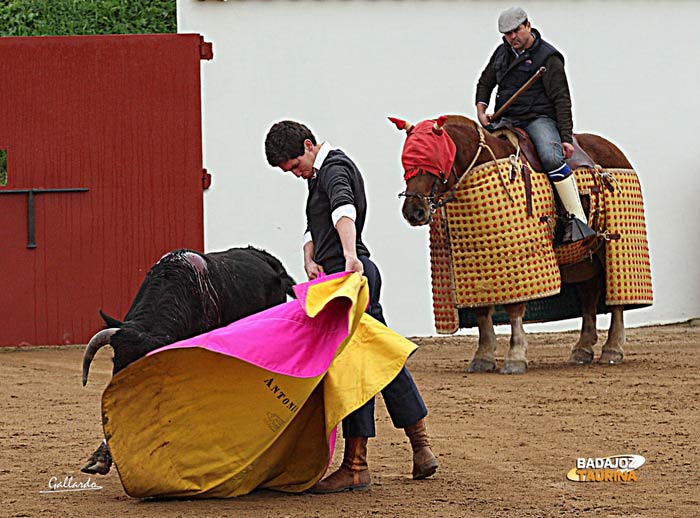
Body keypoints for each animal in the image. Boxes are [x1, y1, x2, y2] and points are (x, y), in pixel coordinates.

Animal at [388, 115, 644, 374]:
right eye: (407, 163)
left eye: (433, 160)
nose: (413, 211)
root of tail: (617, 152)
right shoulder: (474, 267)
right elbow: (482, 309)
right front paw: (483, 356)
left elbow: (515, 307)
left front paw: (515, 356)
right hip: (581, 258)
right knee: (589, 291)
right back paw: (583, 348)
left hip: (613, 243)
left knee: (616, 298)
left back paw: (612, 349)